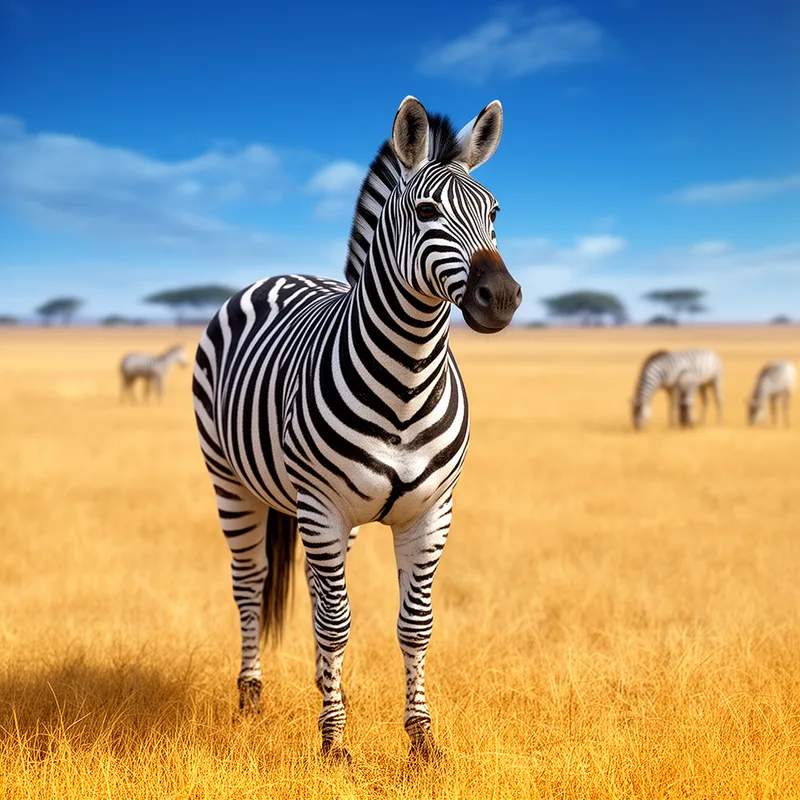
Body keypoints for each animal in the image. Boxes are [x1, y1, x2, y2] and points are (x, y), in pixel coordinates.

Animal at [192, 97, 521, 760]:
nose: (500, 298)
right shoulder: (321, 506)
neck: (406, 381)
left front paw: (421, 741)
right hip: (232, 482)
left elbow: (413, 626)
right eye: (426, 211)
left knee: (314, 593)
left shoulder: (431, 512)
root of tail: (278, 275)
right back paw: (250, 697)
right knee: (251, 583)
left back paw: (321, 687)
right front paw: (334, 745)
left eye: (495, 211)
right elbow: (338, 623)